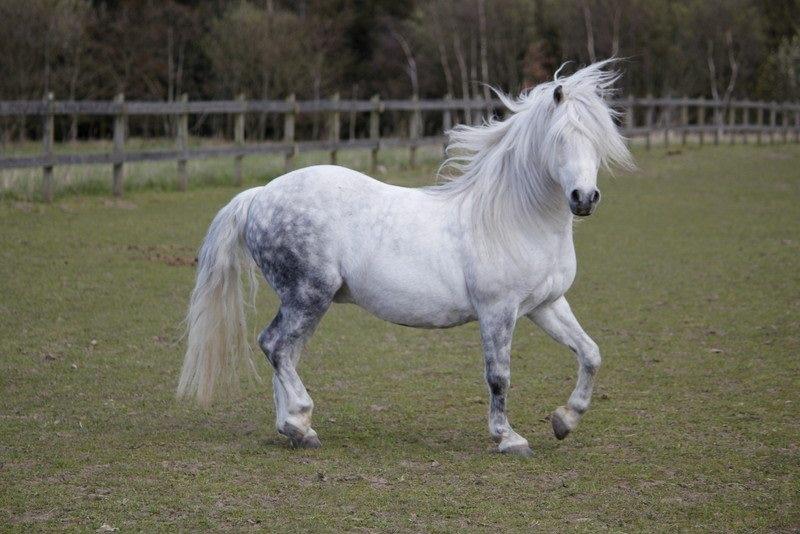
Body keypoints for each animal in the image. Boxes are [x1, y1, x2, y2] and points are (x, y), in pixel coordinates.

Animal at [175, 60, 632, 458]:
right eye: (560, 139)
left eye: (597, 139)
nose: (584, 199)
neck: (515, 219)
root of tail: (258, 196)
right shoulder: (497, 311)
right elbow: (499, 376)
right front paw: (509, 438)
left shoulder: (545, 305)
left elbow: (590, 354)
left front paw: (564, 420)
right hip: (309, 295)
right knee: (275, 346)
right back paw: (299, 422)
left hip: (305, 301)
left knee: (285, 352)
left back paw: (296, 427)